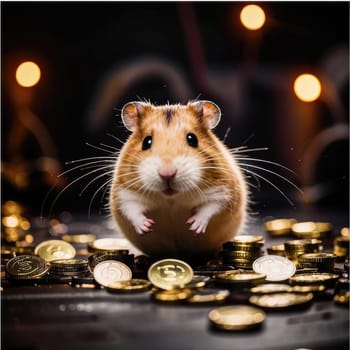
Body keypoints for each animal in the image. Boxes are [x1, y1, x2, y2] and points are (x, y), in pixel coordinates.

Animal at [109, 100, 249, 258]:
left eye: (192, 139)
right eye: (146, 142)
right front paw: (146, 226)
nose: (167, 174)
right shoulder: (124, 192)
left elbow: (211, 207)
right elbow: (131, 209)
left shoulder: (224, 191)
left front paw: (194, 226)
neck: (171, 198)